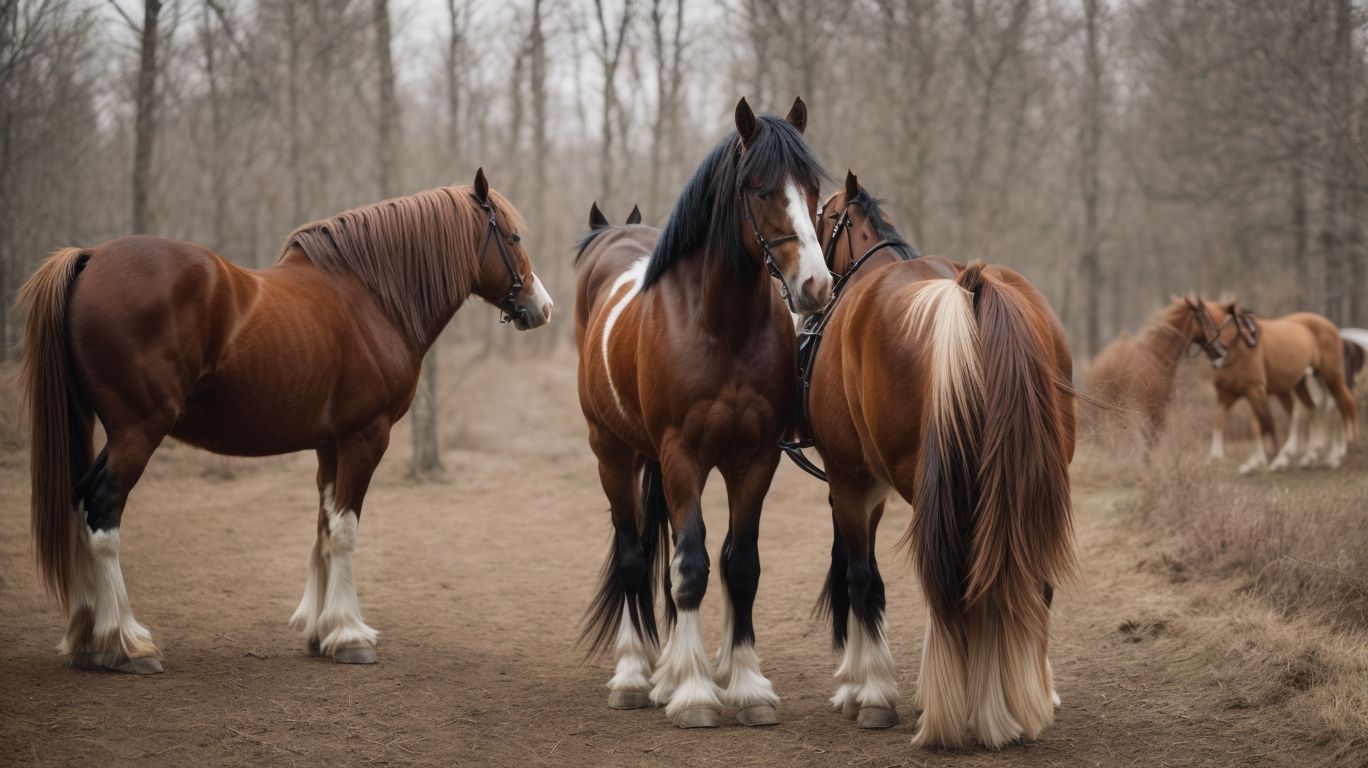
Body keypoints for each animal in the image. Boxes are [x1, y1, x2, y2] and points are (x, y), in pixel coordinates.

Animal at [18, 170, 553, 674]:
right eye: (512, 237)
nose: (542, 307)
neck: (374, 298)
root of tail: (91, 257)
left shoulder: (330, 445)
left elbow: (324, 527)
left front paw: (321, 632)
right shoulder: (365, 437)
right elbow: (345, 530)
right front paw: (350, 636)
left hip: (113, 432)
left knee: (80, 500)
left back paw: (87, 640)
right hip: (138, 431)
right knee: (103, 512)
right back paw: (125, 643)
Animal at [573, 98, 831, 729]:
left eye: (814, 189)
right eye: (761, 189)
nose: (816, 286)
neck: (720, 327)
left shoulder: (755, 459)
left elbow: (741, 566)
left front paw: (746, 686)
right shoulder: (682, 456)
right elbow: (688, 565)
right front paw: (693, 694)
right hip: (613, 454)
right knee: (633, 556)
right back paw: (635, 674)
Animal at [805, 172, 1075, 748]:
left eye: (822, 215)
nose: (810, 292)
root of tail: (969, 289)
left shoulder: (850, 479)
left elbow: (861, 578)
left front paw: (870, 692)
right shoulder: (873, 487)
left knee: (950, 586)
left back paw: (967, 712)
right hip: (1031, 480)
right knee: (1030, 582)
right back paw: (1027, 698)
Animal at [1192, 299, 1357, 471]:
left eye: (1200, 319)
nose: (1215, 351)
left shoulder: (1256, 390)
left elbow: (1263, 422)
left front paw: (1267, 460)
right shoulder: (1233, 393)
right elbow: (1235, 421)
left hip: (1331, 377)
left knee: (1343, 403)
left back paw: (1336, 451)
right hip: (1307, 383)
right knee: (1319, 408)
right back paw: (1313, 454)